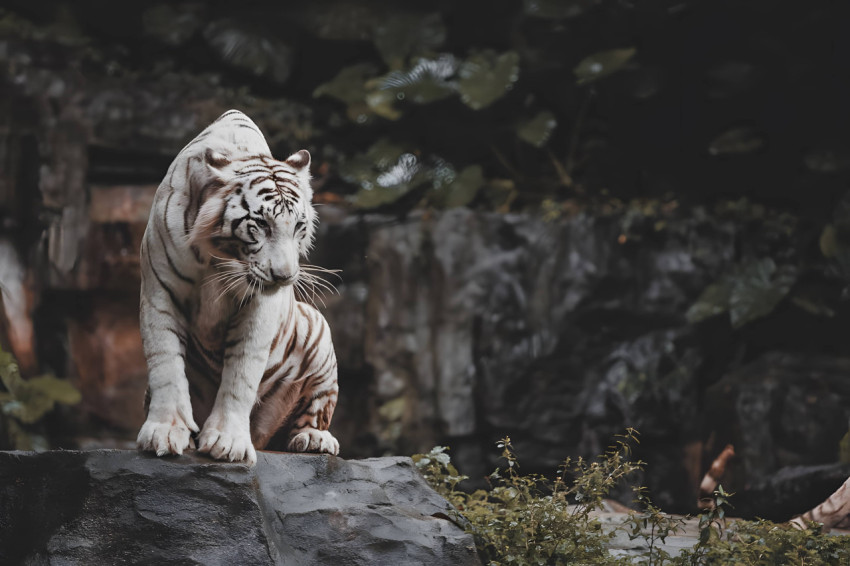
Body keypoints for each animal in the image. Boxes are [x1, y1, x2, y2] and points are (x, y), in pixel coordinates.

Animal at [136, 109, 339, 466]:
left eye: (298, 226)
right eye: (261, 224)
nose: (285, 276)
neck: (218, 259)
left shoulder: (259, 307)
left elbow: (241, 373)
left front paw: (228, 442)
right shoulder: (159, 292)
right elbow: (165, 365)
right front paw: (164, 432)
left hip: (318, 331)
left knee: (314, 412)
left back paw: (313, 438)